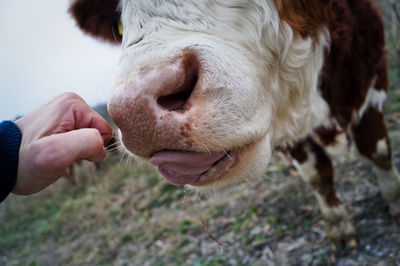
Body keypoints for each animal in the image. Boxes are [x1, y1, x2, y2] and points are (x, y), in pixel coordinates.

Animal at [69, 0, 400, 245]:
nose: (135, 111)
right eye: (120, 24)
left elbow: (378, 150)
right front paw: (339, 228)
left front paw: (394, 201)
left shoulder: (372, 78)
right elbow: (317, 175)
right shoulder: (291, 135)